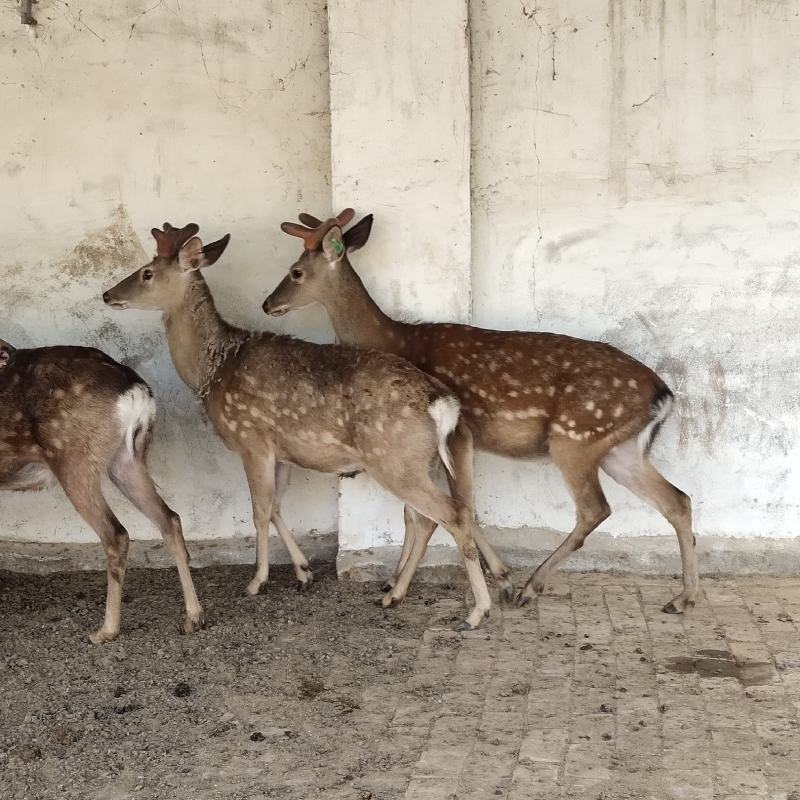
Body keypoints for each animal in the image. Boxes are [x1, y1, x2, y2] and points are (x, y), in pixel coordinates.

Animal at [0, 337, 204, 643]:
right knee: (170, 518)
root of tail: (137, 392)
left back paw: (106, 629)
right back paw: (193, 616)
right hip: (128, 459)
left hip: (74, 459)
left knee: (116, 533)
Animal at [102, 223, 492, 629]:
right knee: (426, 519)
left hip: (395, 459)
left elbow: (259, 510)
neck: (214, 369)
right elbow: (276, 506)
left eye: (147, 273)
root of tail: (443, 403)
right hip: (419, 461)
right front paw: (304, 571)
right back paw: (395, 594)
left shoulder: (251, 438)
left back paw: (476, 610)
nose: (107, 294)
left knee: (451, 514)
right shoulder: (283, 451)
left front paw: (256, 581)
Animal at [263, 209, 699, 614]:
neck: (396, 341)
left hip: (575, 438)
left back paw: (532, 586)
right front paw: (397, 579)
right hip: (620, 449)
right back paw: (683, 598)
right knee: (678, 500)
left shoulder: (460, 431)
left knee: (596, 508)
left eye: (296, 271)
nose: (268, 303)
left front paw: (499, 580)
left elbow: (459, 506)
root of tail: (663, 393)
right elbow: (424, 510)